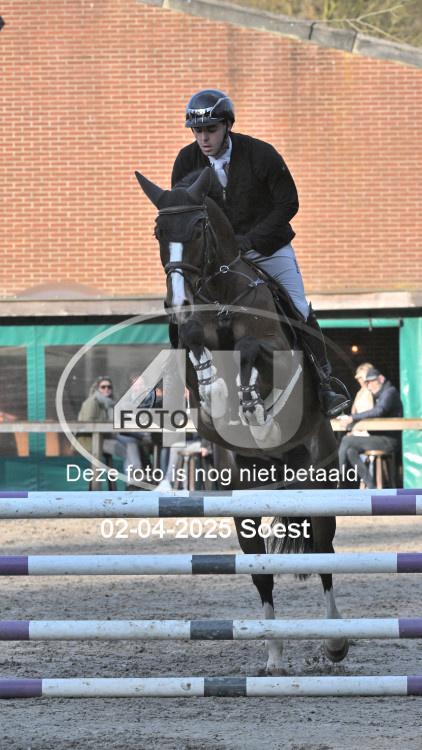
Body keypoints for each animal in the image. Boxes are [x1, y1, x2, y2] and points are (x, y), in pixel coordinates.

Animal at [135, 166, 349, 674]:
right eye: (158, 232)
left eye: (198, 229)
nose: (178, 303)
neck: (222, 298)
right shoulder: (193, 342)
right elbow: (197, 348)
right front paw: (218, 387)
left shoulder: (278, 353)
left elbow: (255, 351)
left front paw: (253, 404)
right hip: (244, 500)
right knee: (262, 574)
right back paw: (273, 658)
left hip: (320, 479)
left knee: (324, 553)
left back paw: (335, 642)